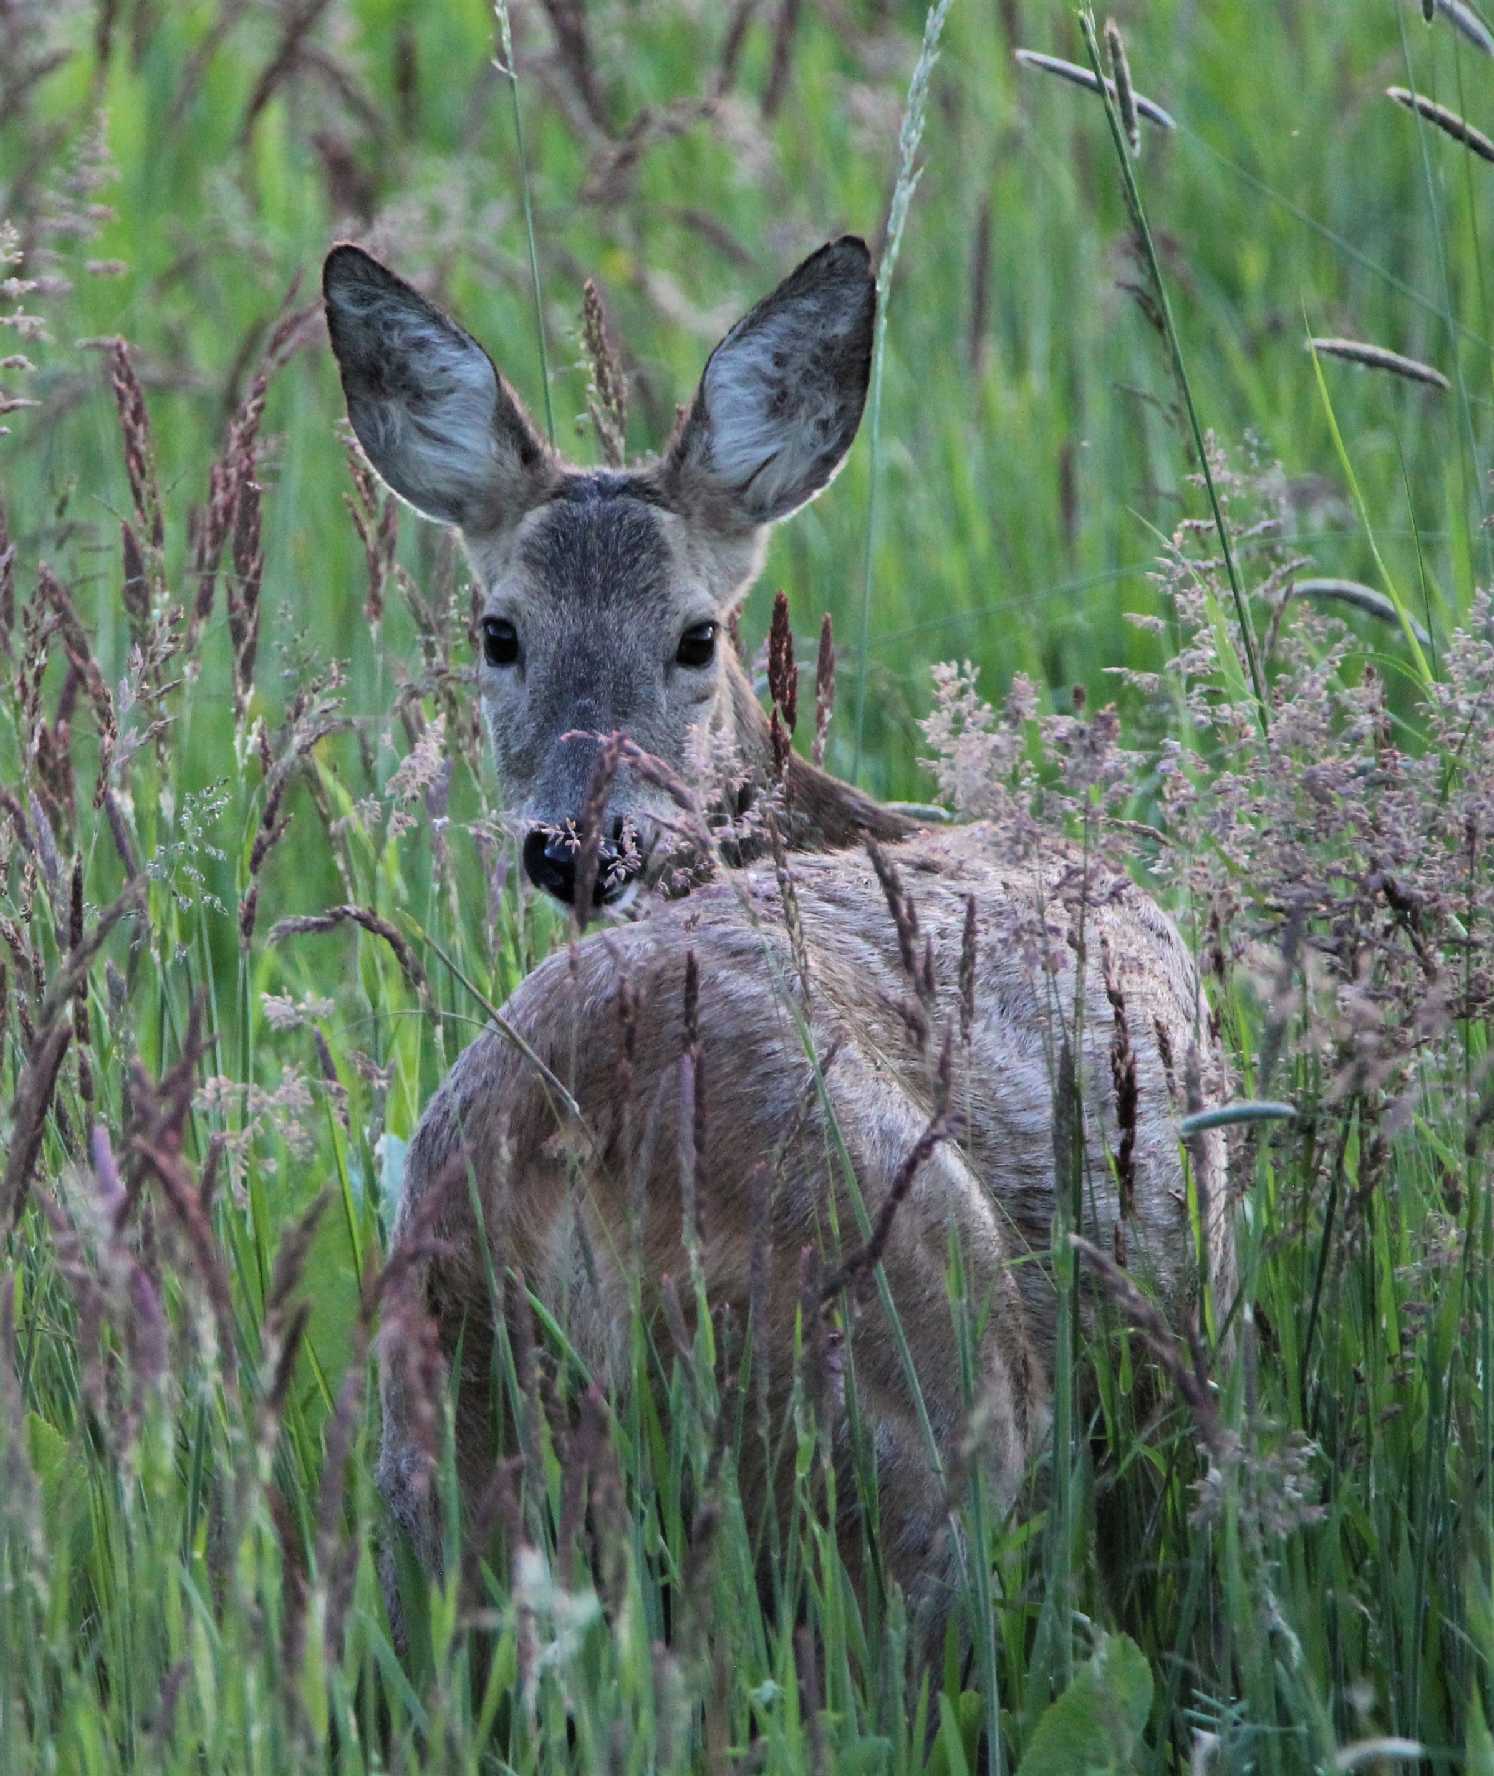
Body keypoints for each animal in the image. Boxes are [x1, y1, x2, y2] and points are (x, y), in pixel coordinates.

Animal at [319, 232, 1229, 1648]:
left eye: (698, 633)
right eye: (499, 632)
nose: (581, 845)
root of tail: (578, 1139)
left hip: (441, 1451)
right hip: (920, 1401)